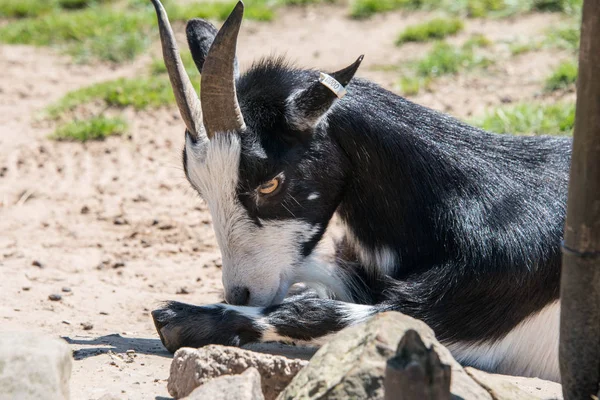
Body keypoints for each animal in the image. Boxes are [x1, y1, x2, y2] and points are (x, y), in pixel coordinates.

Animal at [150, 0, 572, 382]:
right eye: (197, 185)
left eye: (269, 182)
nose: (242, 293)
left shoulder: (472, 301)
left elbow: (314, 312)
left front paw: (181, 318)